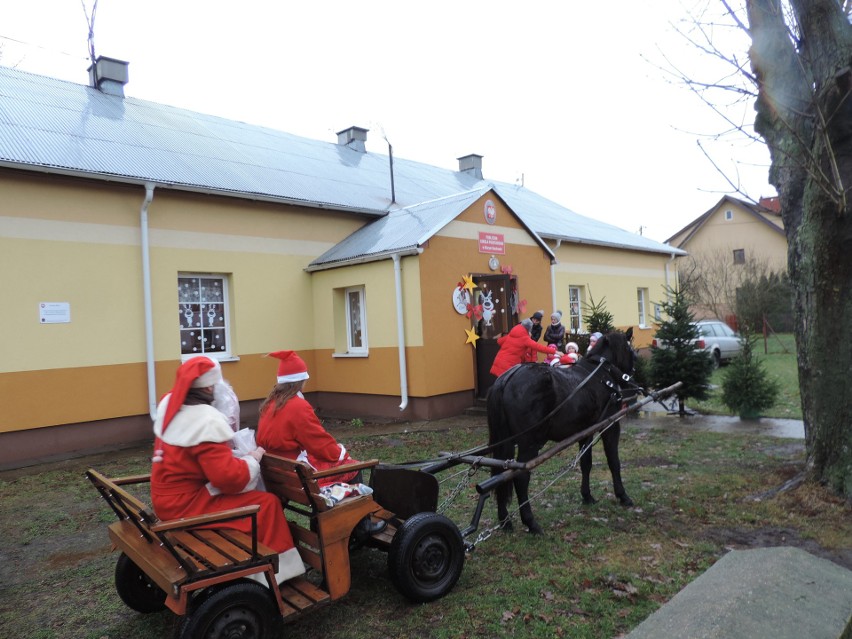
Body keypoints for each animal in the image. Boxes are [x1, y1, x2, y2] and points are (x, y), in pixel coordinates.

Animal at [486, 330, 640, 536]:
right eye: (629, 348)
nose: (635, 365)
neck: (602, 374)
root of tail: (506, 379)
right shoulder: (610, 426)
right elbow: (614, 462)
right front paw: (622, 495)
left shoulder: (585, 432)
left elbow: (586, 463)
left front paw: (587, 496)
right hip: (529, 443)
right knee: (520, 477)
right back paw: (531, 522)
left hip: (506, 442)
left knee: (500, 475)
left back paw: (505, 521)